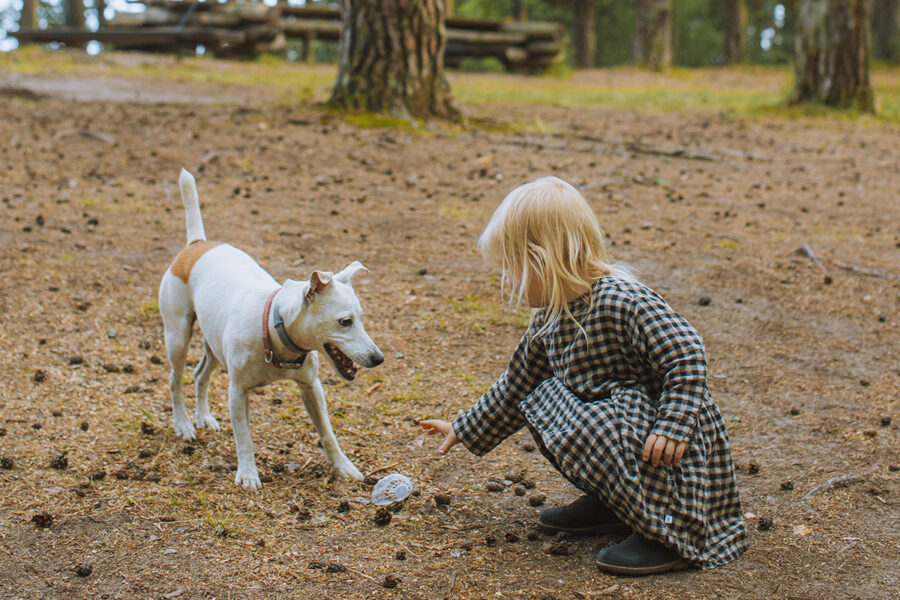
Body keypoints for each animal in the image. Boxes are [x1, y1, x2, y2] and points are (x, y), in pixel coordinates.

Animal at [159, 168, 384, 488]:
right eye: (345, 321)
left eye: (362, 317)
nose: (378, 358)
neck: (274, 332)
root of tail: (197, 245)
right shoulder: (238, 393)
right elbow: (244, 438)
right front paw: (248, 473)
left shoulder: (311, 388)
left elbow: (328, 433)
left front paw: (343, 467)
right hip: (177, 337)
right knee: (175, 380)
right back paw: (184, 424)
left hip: (213, 345)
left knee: (200, 375)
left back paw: (203, 418)